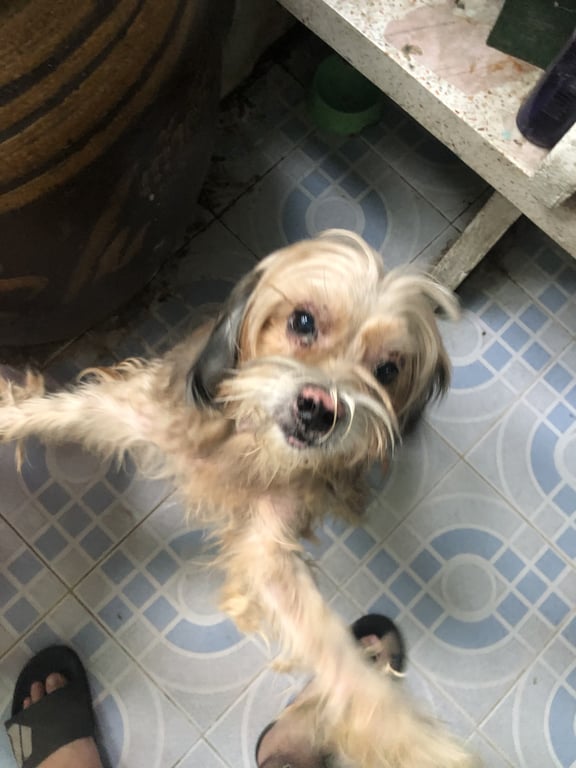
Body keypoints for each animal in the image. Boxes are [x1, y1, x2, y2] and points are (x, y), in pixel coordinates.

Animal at [0, 230, 477, 767]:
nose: (320, 410)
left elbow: (334, 650)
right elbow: (42, 412)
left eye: (388, 369)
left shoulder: (269, 549)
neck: (243, 441)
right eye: (303, 321)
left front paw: (404, 735)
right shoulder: (130, 415)